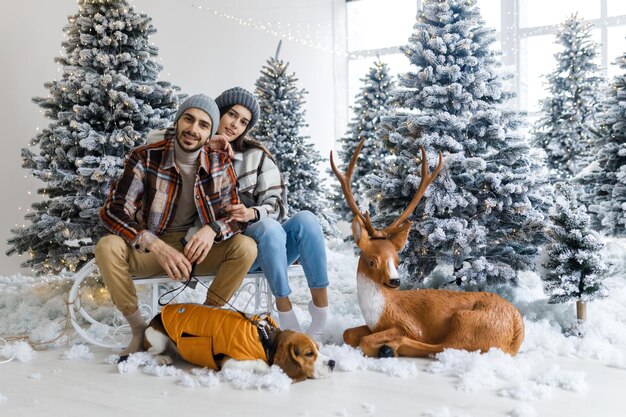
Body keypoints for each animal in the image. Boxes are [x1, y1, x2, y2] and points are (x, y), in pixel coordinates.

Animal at [143, 302, 336, 380]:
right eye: (309, 353)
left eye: (318, 348)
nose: (333, 362)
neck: (266, 339)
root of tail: (157, 315)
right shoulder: (231, 363)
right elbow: (260, 362)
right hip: (158, 340)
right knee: (146, 353)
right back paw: (163, 358)